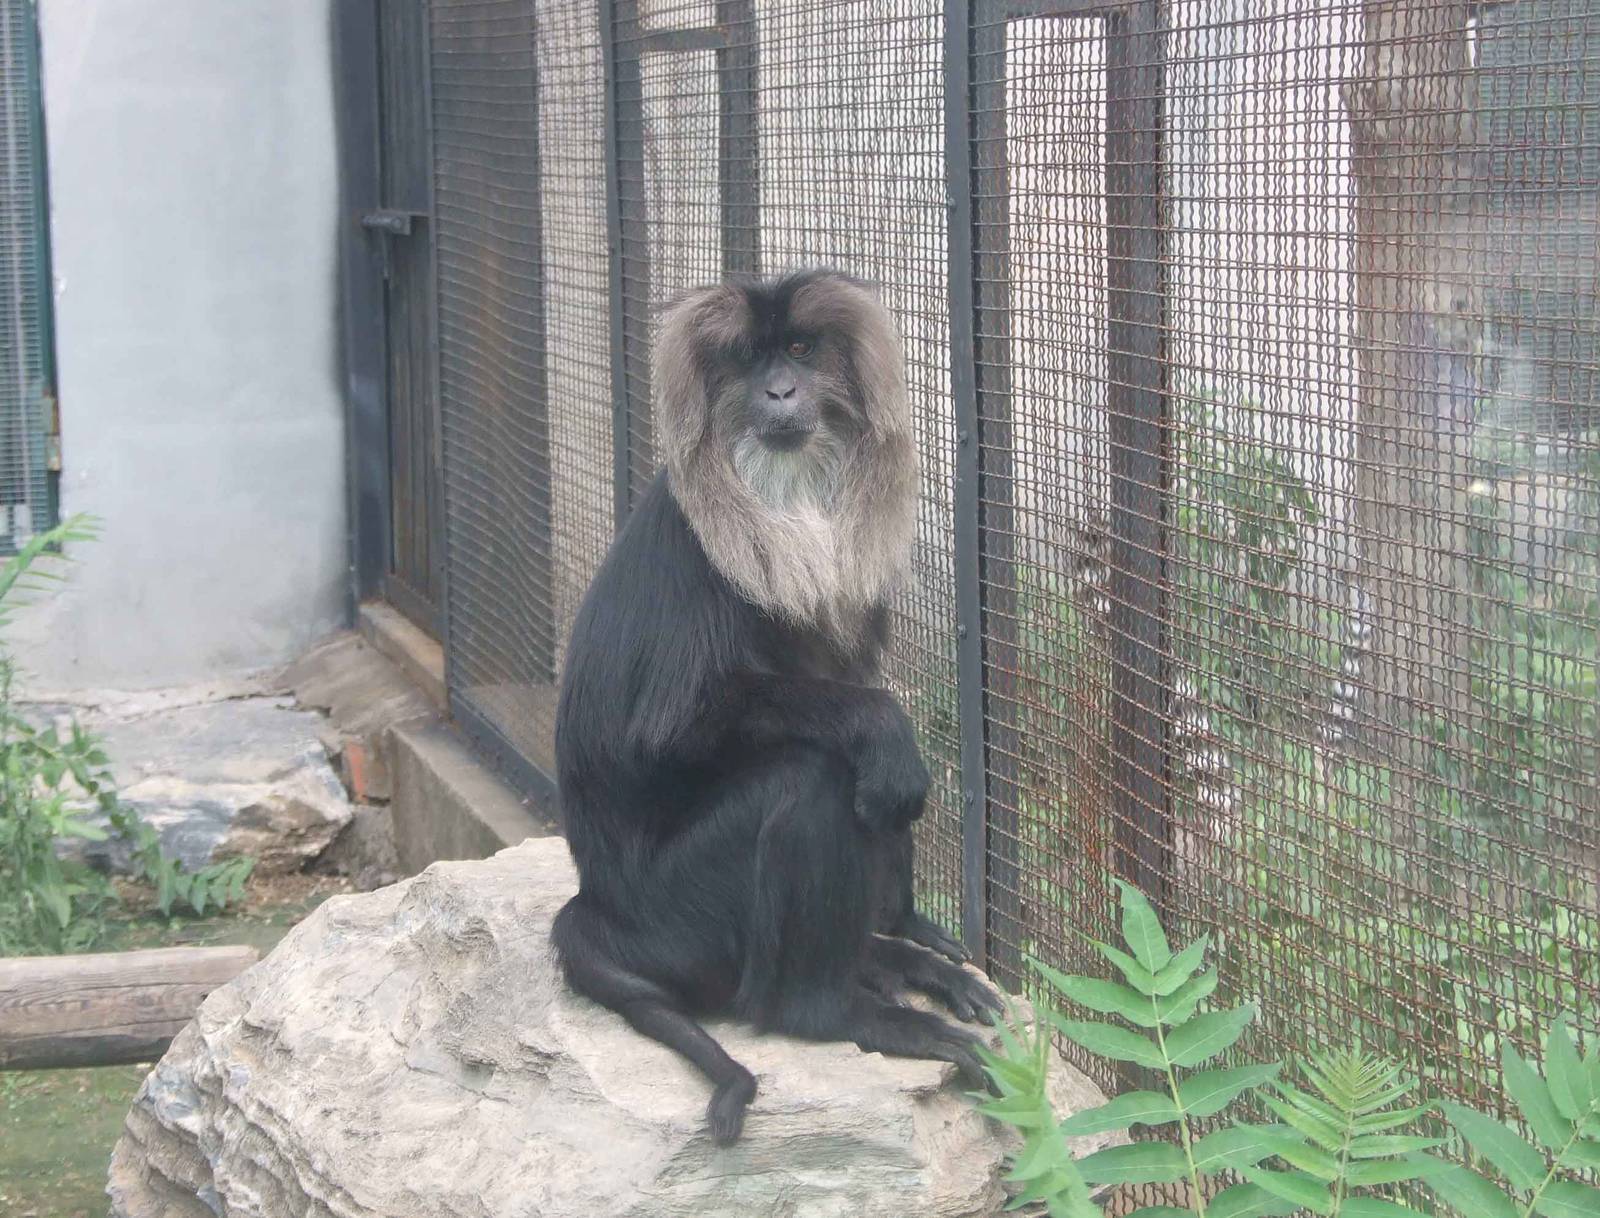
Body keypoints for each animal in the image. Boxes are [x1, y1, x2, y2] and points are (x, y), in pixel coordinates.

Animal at [550, 268, 1003, 1144]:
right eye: (749, 361)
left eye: (798, 349)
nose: (781, 390)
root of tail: (599, 908)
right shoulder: (700, 564)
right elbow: (671, 735)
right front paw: (884, 729)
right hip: (681, 917)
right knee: (815, 776)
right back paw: (846, 1012)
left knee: (866, 793)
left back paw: (892, 958)